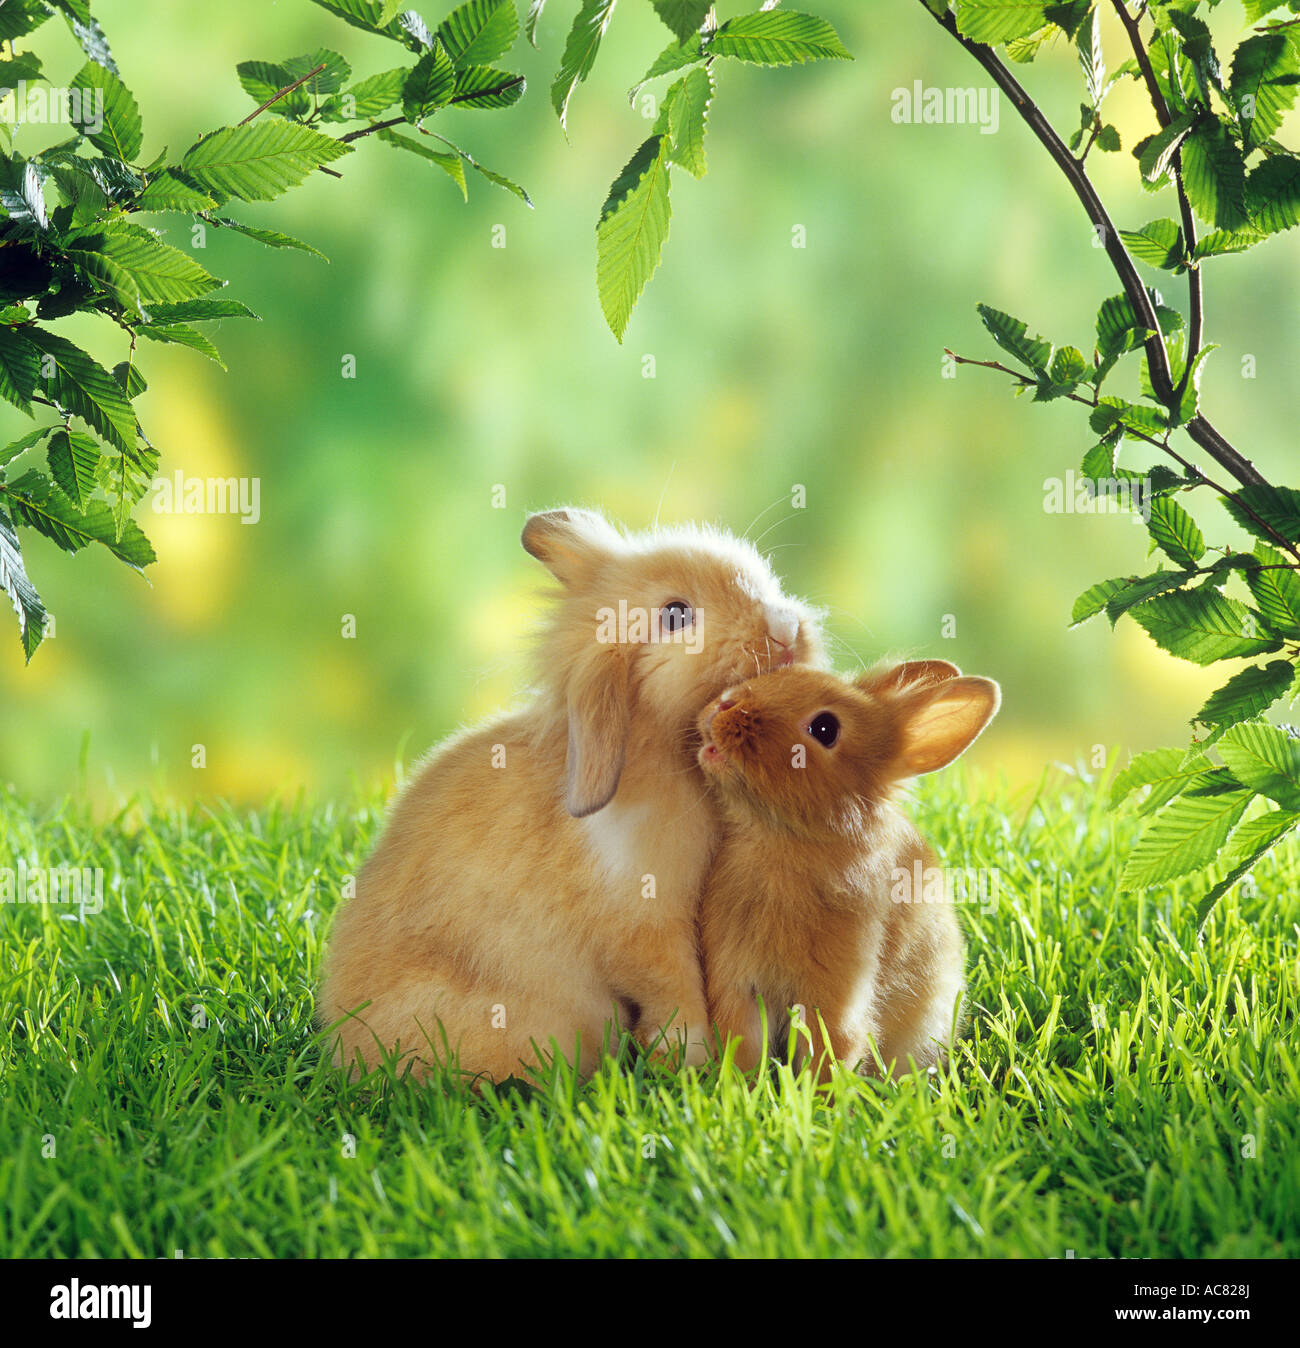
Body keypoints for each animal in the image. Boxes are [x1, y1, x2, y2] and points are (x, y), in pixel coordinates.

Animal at [318, 506, 825, 1086]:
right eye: (676, 616)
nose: (786, 629)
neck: (663, 759)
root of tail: (345, 1053)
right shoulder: (643, 927)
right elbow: (674, 990)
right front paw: (690, 1060)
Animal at [696, 659, 1000, 1083]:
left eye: (825, 728)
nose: (726, 704)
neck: (783, 841)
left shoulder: (835, 998)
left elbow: (829, 1051)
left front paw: (817, 1099)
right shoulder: (736, 986)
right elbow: (743, 1046)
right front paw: (741, 1089)